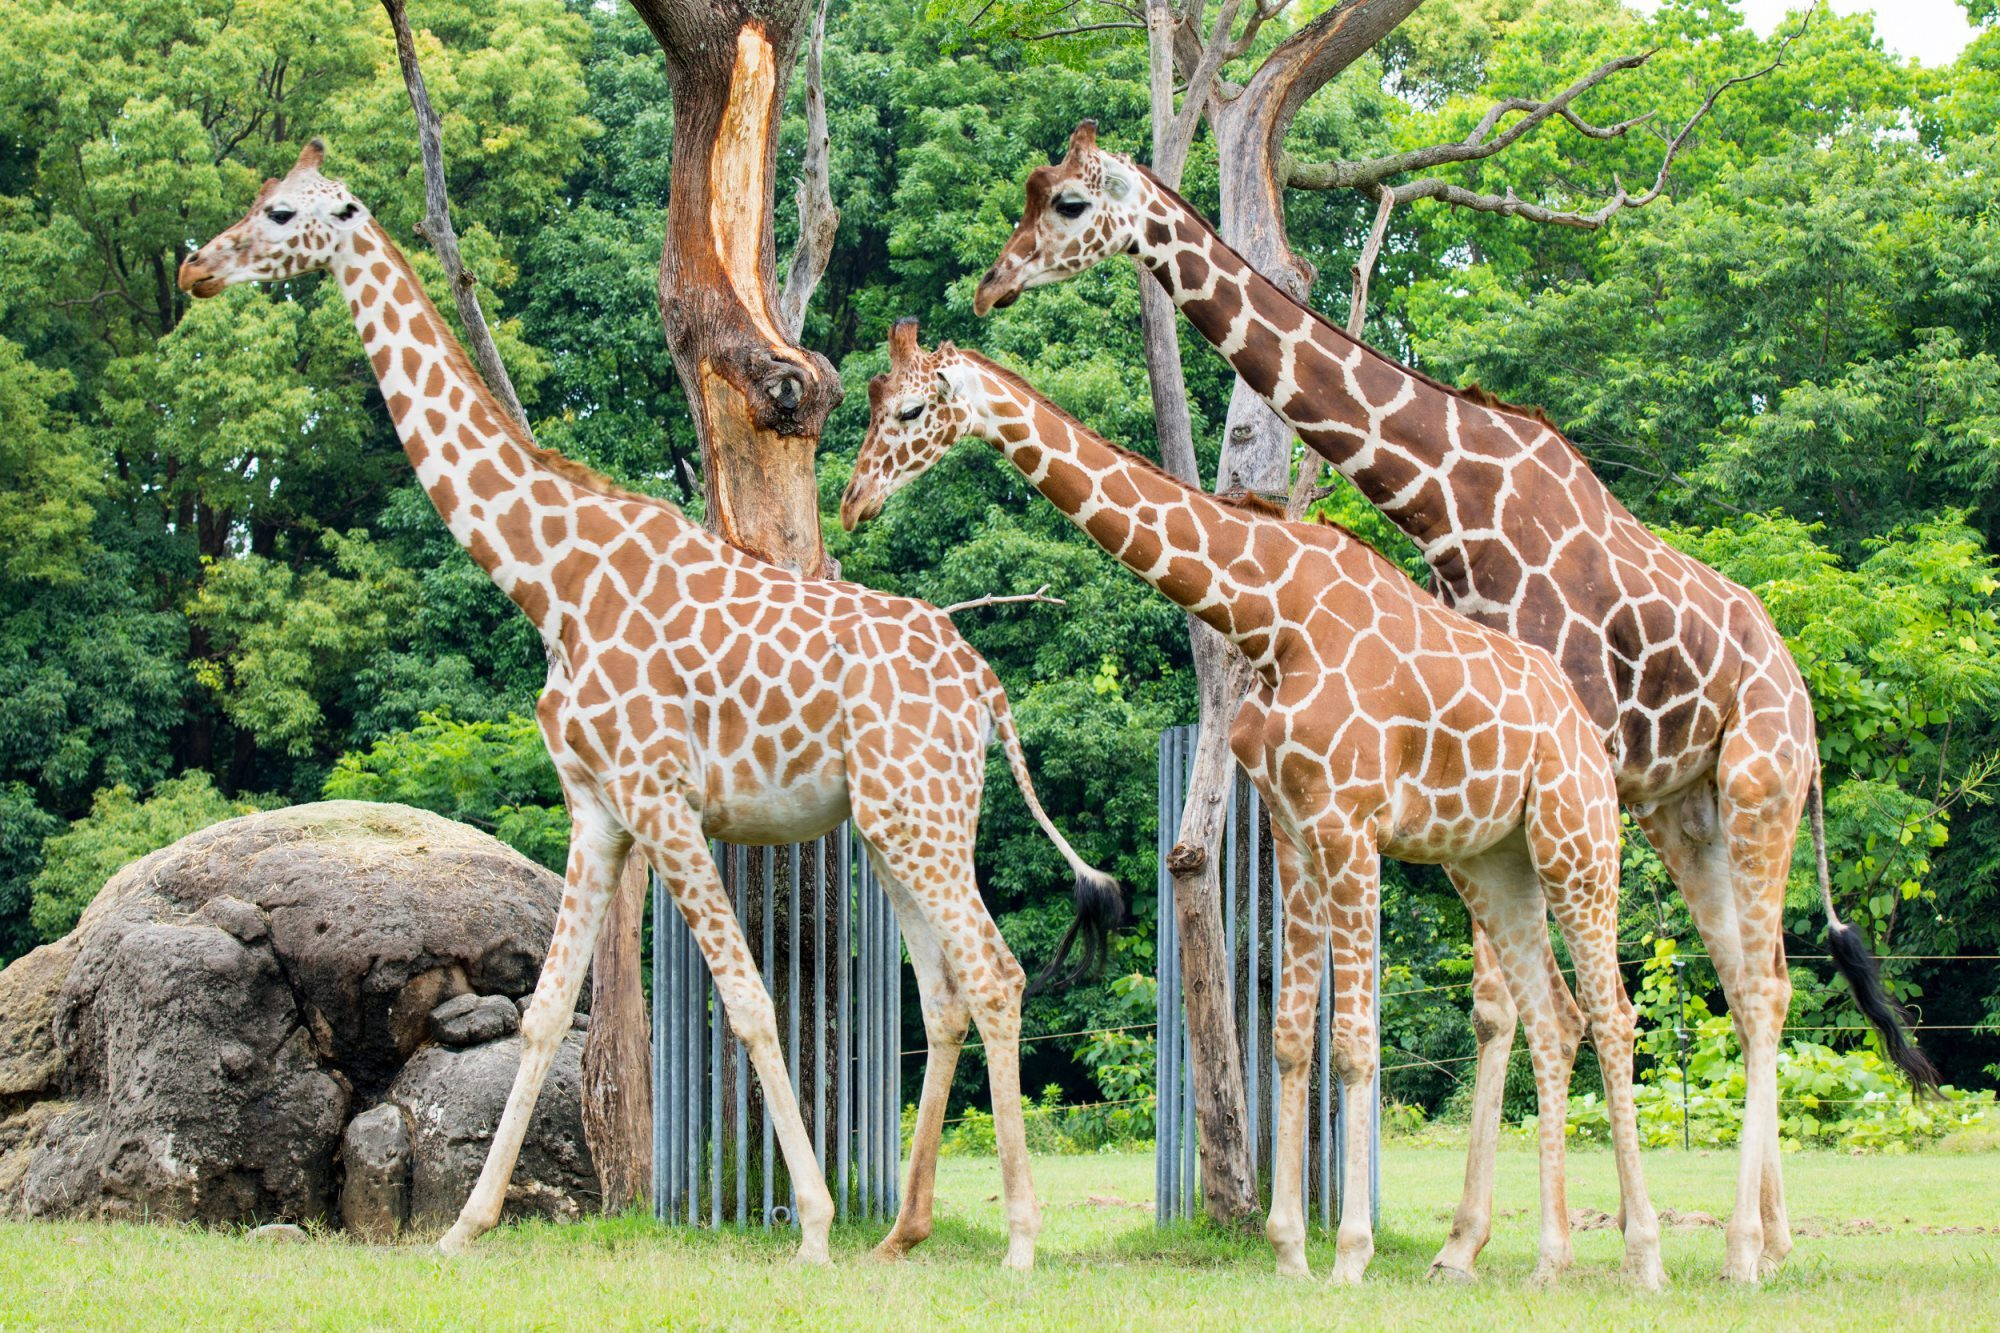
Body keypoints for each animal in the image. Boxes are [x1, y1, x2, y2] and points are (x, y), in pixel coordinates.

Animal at [176, 143, 1128, 1264]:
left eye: (282, 213)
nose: (197, 268)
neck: (548, 577)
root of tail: (987, 685)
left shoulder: (662, 798)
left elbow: (750, 1001)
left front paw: (810, 1226)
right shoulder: (596, 807)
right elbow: (546, 1013)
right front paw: (463, 1225)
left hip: (918, 816)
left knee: (997, 972)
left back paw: (1015, 1240)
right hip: (901, 821)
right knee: (944, 994)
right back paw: (902, 1233)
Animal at [836, 322, 1664, 1288]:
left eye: (909, 409)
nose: (852, 503)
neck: (1270, 612)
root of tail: (1590, 734)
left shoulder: (1351, 825)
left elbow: (1355, 1043)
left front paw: (1350, 1255)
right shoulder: (1296, 829)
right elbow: (1289, 1036)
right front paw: (1290, 1250)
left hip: (1577, 842)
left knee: (1613, 1012)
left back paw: (1642, 1256)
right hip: (1495, 862)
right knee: (1557, 1019)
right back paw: (1546, 1260)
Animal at [968, 122, 1936, 1280]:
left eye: (1067, 204)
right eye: (1028, 196)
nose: (989, 284)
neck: (1447, 497)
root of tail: (1803, 700)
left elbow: (1519, 1003)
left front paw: (1516, 1241)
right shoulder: (1484, 780)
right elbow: (1498, 1005)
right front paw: (1469, 1243)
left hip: (1759, 789)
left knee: (1764, 984)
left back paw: (1744, 1246)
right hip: (1682, 809)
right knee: (1756, 975)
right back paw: (1772, 1237)